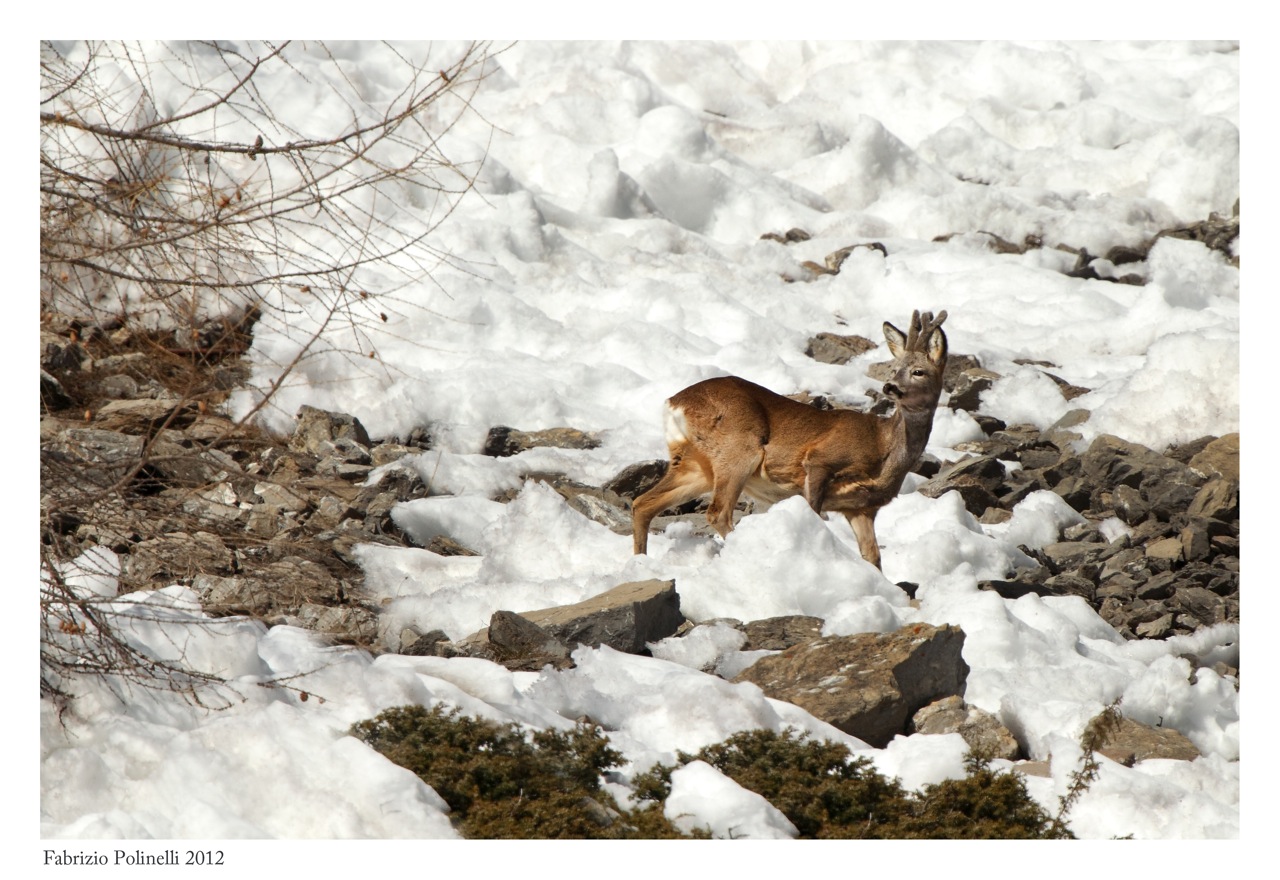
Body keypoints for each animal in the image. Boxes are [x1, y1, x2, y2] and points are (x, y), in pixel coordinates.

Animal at [632, 309, 952, 570]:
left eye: (918, 371)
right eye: (894, 368)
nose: (890, 387)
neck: (885, 447)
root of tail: (673, 403)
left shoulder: (861, 508)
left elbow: (872, 556)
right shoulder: (819, 460)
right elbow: (815, 515)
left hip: (694, 466)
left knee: (642, 503)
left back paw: (639, 564)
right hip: (738, 450)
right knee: (717, 513)